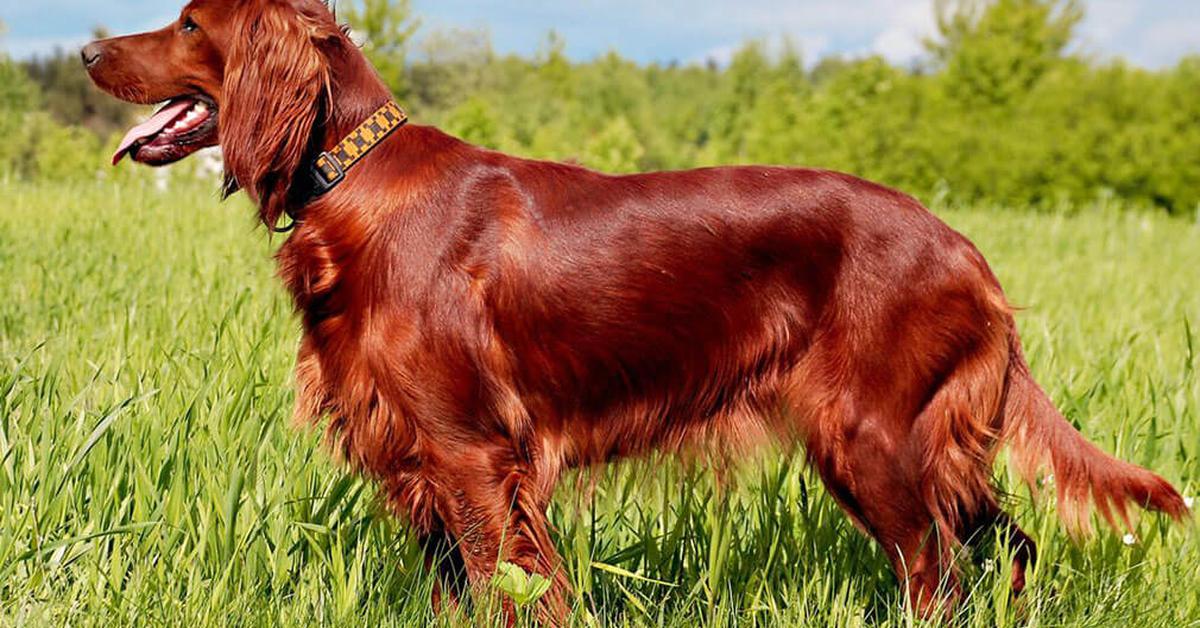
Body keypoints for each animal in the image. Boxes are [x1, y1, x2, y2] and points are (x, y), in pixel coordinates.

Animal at [79, 0, 1185, 619]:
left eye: (188, 22)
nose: (86, 51)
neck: (353, 178)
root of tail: (967, 249)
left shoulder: (471, 453)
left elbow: (511, 589)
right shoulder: (418, 457)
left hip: (870, 437)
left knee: (939, 574)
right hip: (924, 444)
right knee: (1009, 546)